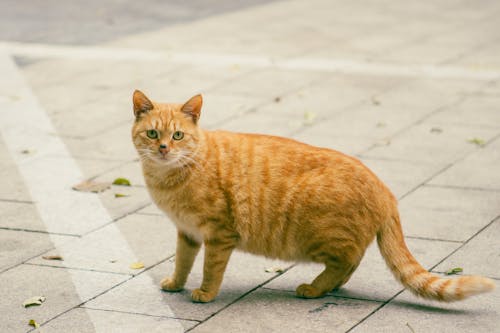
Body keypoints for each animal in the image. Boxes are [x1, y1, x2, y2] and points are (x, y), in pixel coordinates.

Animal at [132, 89, 496, 302]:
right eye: (152, 133)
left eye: (178, 136)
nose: (163, 148)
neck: (170, 177)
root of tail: (385, 188)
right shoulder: (188, 233)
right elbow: (182, 262)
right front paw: (176, 283)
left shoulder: (219, 235)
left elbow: (210, 269)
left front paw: (205, 293)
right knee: (350, 266)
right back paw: (327, 287)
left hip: (321, 235)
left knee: (347, 261)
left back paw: (315, 288)